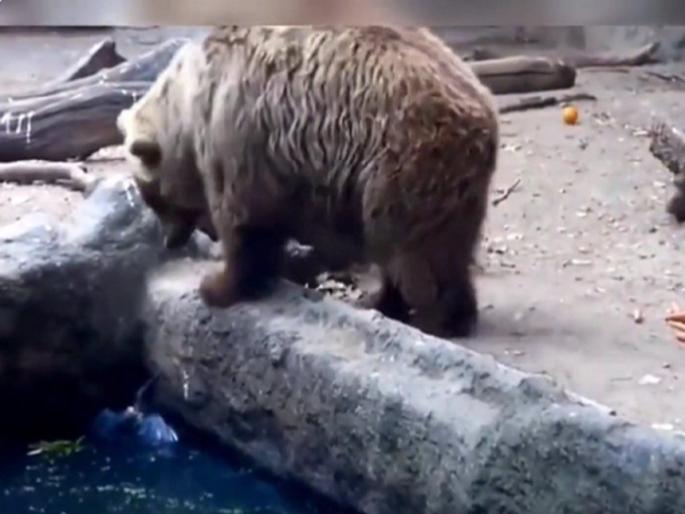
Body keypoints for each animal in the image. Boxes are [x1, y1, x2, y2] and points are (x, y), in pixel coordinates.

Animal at [117, 26, 500, 338]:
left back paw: (433, 318)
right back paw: (395, 303)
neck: (187, 107)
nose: (170, 240)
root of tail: (484, 109)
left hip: (403, 162)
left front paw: (217, 286)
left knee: (410, 250)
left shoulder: (237, 134)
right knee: (432, 248)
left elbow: (244, 222)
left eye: (152, 196)